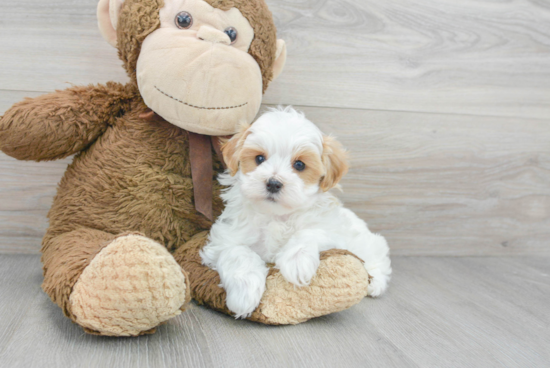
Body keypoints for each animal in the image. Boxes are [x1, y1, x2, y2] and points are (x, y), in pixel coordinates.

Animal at [202, 107, 392, 320]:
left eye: (299, 165)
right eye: (259, 159)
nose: (273, 183)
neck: (276, 215)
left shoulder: (332, 228)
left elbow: (310, 232)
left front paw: (297, 262)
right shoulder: (225, 237)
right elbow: (237, 252)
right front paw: (244, 293)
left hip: (367, 242)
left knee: (378, 259)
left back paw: (375, 283)